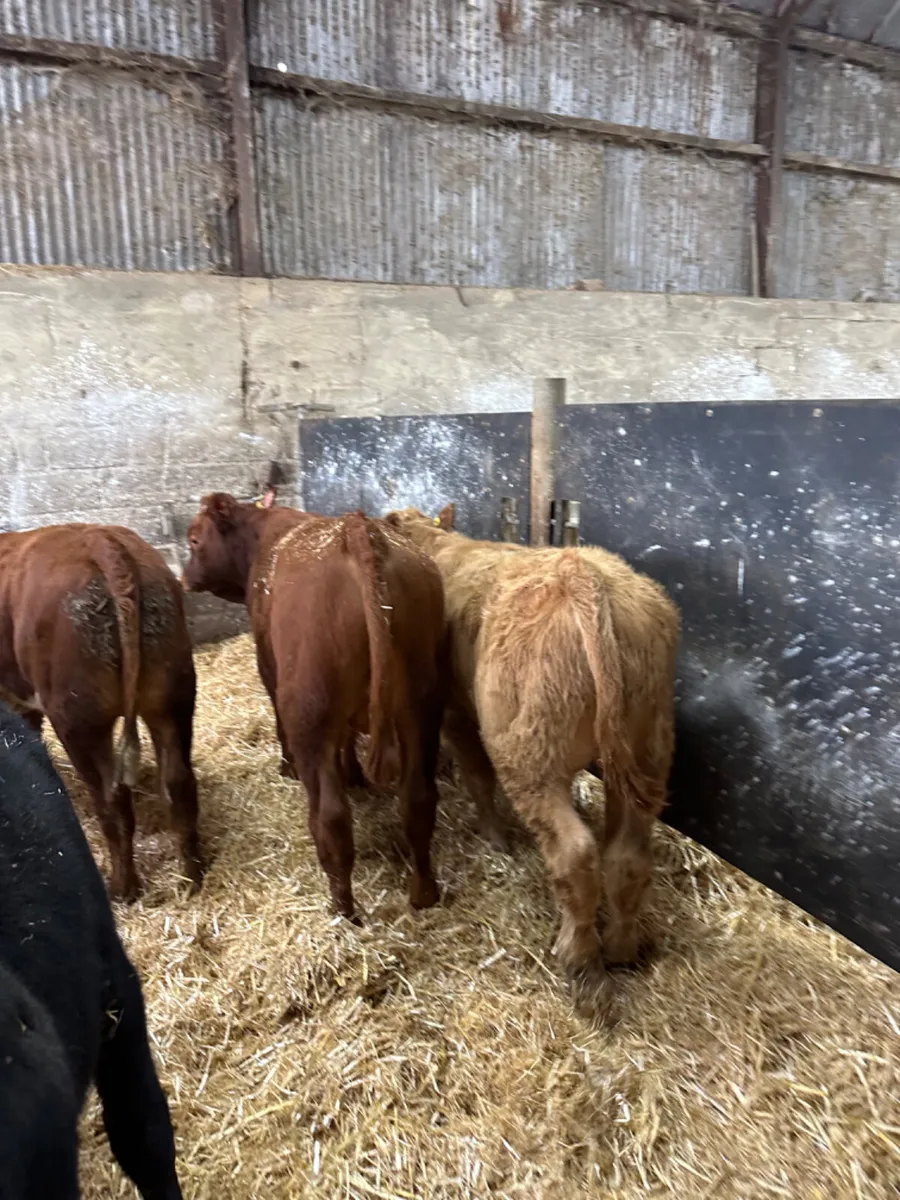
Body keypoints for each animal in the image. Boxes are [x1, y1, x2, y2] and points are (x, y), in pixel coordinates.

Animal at [0, 524, 203, 901]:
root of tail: (100, 540)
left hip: (78, 720)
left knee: (112, 800)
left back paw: (122, 889)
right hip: (173, 698)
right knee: (178, 783)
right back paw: (191, 877)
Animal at [182, 491, 447, 920]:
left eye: (193, 539)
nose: (184, 577)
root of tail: (358, 530)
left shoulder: (268, 662)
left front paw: (287, 767)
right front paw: (353, 773)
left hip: (309, 711)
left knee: (331, 819)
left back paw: (343, 909)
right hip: (422, 707)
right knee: (418, 801)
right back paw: (424, 894)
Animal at [385, 507, 680, 990]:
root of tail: (581, 572)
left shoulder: (455, 711)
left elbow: (478, 777)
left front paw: (495, 838)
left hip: (529, 758)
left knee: (575, 853)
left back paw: (577, 954)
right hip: (647, 751)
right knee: (627, 856)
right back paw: (620, 948)